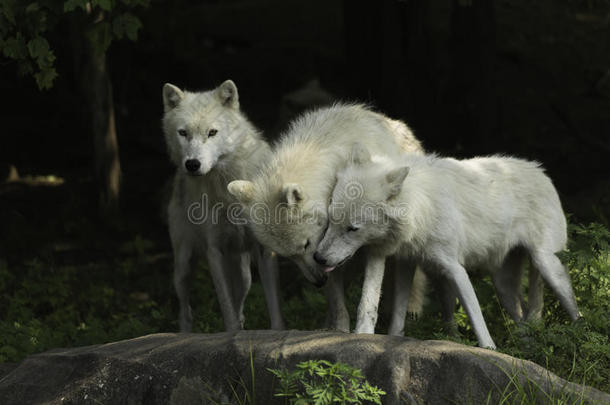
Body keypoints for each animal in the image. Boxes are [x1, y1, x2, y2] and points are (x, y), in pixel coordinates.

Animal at [163, 79, 284, 332]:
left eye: (212, 132)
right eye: (183, 133)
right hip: (183, 267)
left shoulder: (264, 249)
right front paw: (233, 337)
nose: (192, 164)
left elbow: (274, 309)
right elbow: (227, 311)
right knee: (185, 311)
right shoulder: (214, 251)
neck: (228, 185)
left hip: (244, 275)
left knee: (240, 308)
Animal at [228, 103, 422, 332]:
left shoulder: (371, 247)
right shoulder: (326, 255)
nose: (318, 282)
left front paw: (362, 332)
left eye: (305, 244)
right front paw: (339, 330)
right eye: (289, 257)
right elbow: (337, 303)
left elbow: (368, 299)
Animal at [314, 144, 580, 348]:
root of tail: (542, 172)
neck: (421, 207)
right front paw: (382, 337)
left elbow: (476, 317)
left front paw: (489, 349)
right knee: (523, 317)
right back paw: (527, 350)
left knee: (573, 310)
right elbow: (381, 307)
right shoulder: (398, 260)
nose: (318, 258)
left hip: (548, 267)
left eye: (353, 229)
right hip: (504, 287)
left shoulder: (454, 268)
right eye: (332, 220)